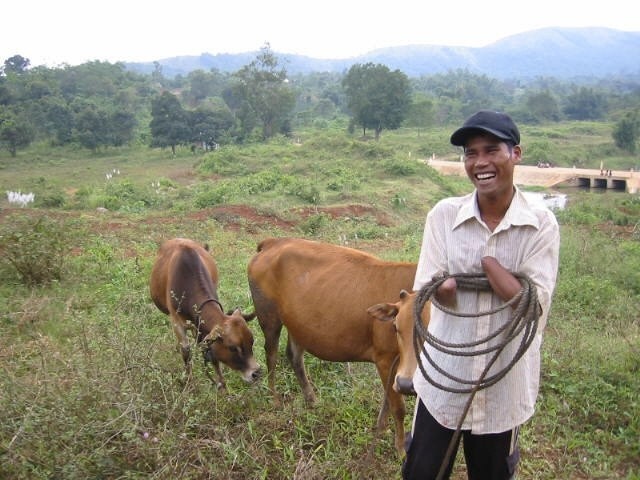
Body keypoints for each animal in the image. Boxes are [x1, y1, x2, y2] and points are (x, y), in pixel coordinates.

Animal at [149, 238, 262, 388]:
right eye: (232, 348)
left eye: (252, 341)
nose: (256, 373)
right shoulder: (177, 323)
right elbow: (186, 351)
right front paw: (189, 383)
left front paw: (221, 385)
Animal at [246, 236, 420, 454]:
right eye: (396, 326)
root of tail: (274, 241)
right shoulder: (385, 357)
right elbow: (398, 406)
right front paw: (400, 450)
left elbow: (389, 400)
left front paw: (381, 428)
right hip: (268, 315)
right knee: (271, 355)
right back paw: (276, 400)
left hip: (298, 323)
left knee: (294, 356)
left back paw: (311, 400)